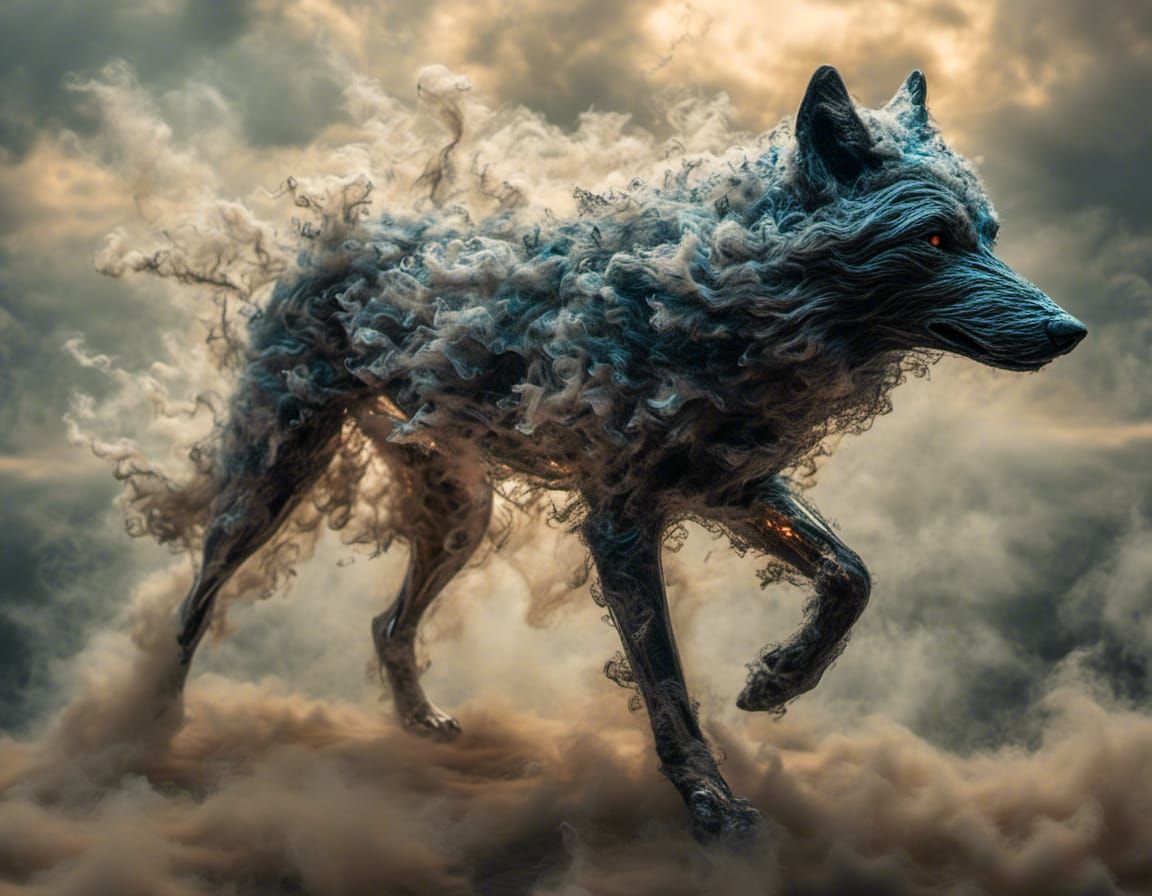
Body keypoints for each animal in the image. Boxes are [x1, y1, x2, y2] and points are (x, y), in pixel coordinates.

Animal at [156, 66, 1086, 839]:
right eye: (935, 239)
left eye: (990, 233)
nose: (1069, 331)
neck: (728, 289)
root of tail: (340, 236)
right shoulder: (622, 525)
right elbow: (666, 683)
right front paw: (712, 805)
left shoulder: (733, 488)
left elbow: (851, 577)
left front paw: (780, 679)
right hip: (272, 486)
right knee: (194, 605)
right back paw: (150, 737)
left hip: (461, 515)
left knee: (388, 624)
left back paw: (417, 725)